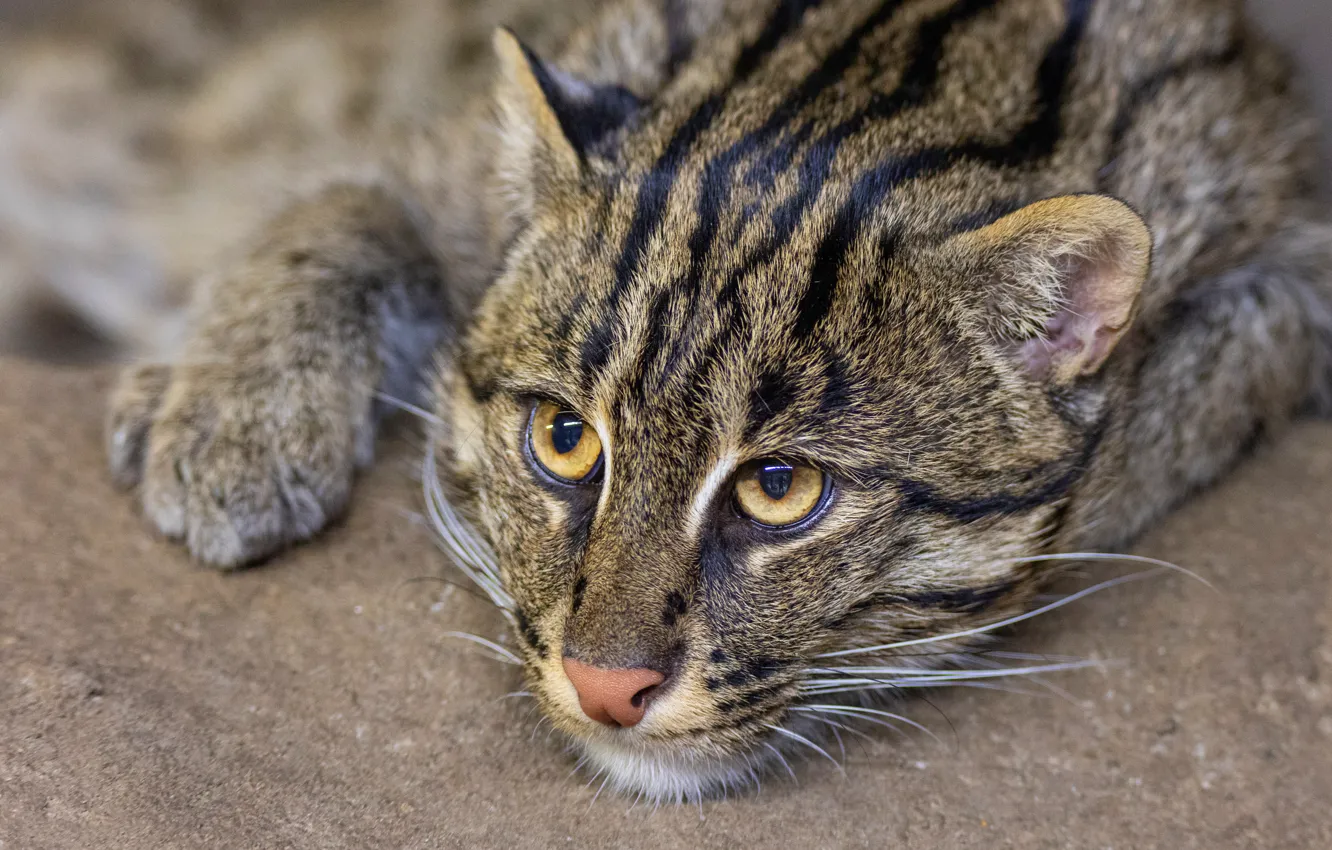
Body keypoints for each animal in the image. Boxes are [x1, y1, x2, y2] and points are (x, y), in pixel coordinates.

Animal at [103, 0, 1332, 804]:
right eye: (563, 439)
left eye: (781, 487)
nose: (604, 690)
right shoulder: (440, 165)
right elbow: (341, 203)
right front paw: (226, 415)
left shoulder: (1292, 252)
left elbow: (1213, 372)